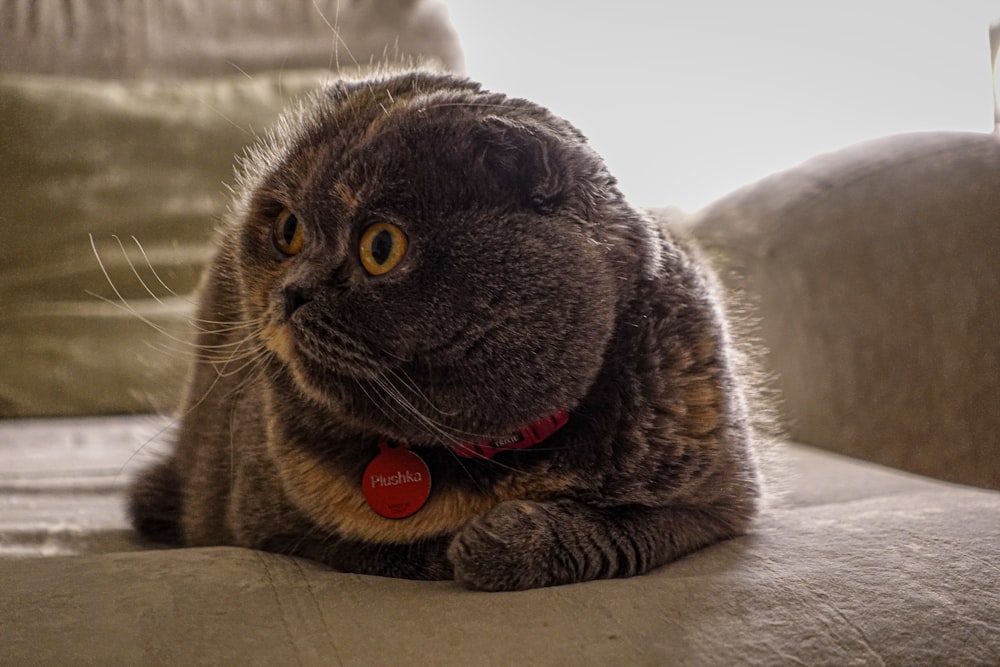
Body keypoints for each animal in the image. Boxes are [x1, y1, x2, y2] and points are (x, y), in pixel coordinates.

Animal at [129, 70, 760, 592]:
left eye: (381, 246)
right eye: (288, 230)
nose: (291, 292)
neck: (489, 458)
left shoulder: (719, 503)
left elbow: (626, 530)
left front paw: (502, 543)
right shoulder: (264, 522)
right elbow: (368, 545)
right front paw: (452, 549)